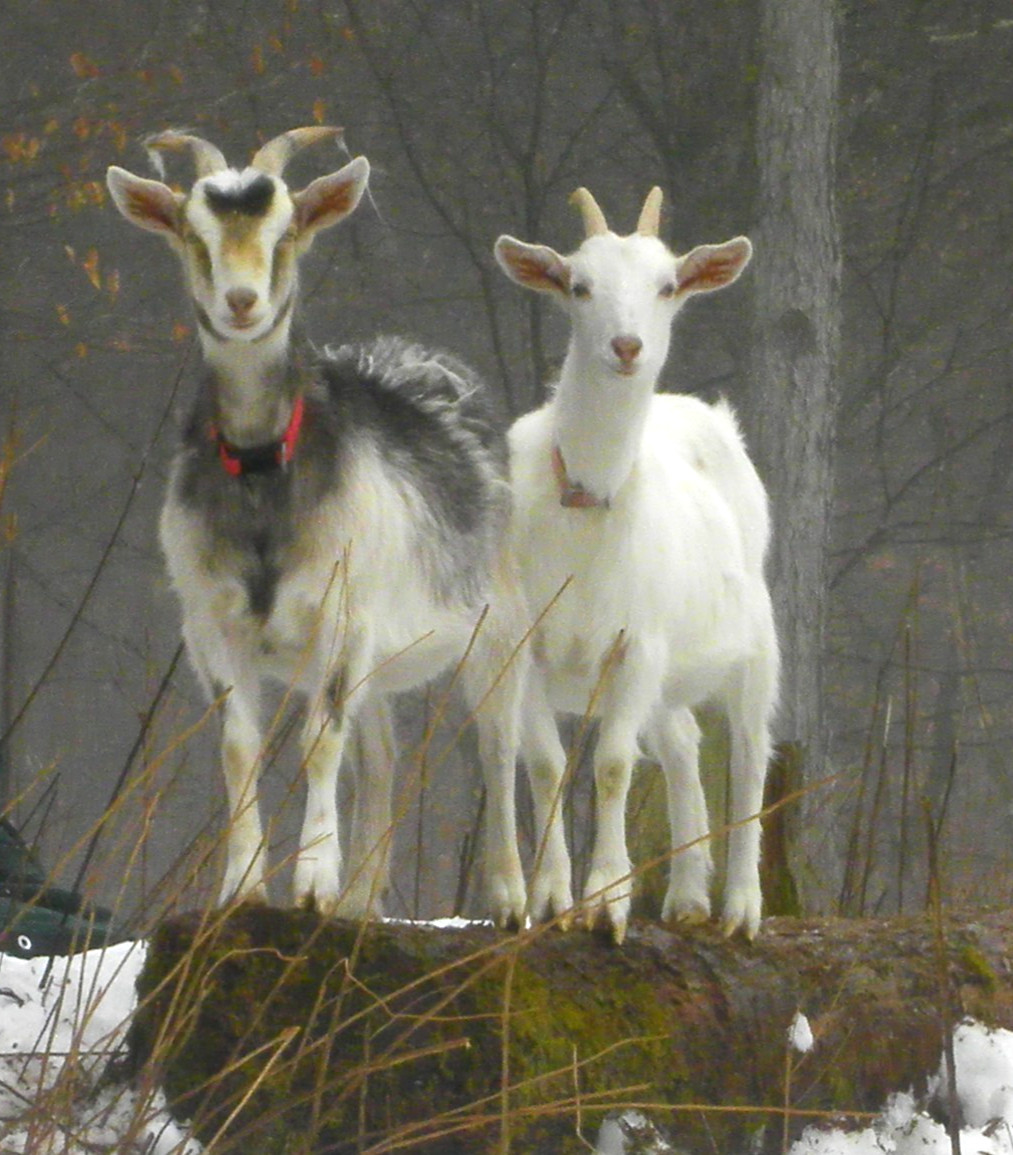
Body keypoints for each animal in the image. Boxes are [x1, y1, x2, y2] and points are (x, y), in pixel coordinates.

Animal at [106, 128, 527, 925]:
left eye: (286, 231)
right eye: (195, 235)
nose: (242, 302)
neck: (265, 481)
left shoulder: (341, 614)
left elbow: (317, 742)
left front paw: (310, 885)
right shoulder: (212, 626)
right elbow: (241, 746)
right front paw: (243, 888)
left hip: (498, 627)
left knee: (501, 744)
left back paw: (514, 897)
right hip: (382, 657)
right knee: (383, 756)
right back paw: (362, 901)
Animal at [494, 186, 778, 942]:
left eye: (667, 285)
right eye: (579, 285)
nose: (627, 346)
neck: (584, 500)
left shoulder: (635, 644)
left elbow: (614, 766)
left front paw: (605, 902)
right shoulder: (523, 644)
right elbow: (547, 765)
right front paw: (551, 900)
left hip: (754, 641)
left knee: (749, 751)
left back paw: (740, 907)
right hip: (670, 678)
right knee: (683, 744)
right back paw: (685, 896)